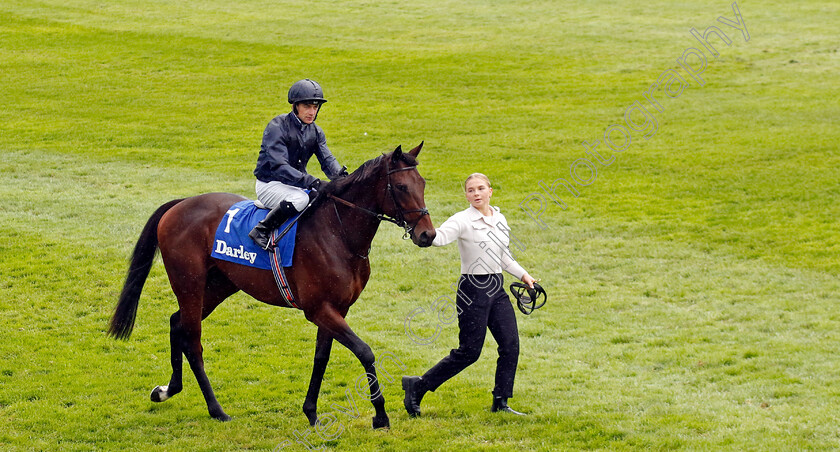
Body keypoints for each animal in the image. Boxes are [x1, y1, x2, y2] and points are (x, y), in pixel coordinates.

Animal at [106, 142, 434, 428]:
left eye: (423, 184)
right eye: (401, 187)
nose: (427, 235)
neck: (338, 233)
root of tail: (179, 205)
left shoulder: (336, 309)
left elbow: (321, 358)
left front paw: (311, 412)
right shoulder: (318, 309)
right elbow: (365, 352)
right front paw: (380, 415)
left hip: (219, 285)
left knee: (177, 323)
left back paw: (167, 390)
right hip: (189, 284)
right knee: (193, 340)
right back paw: (217, 410)